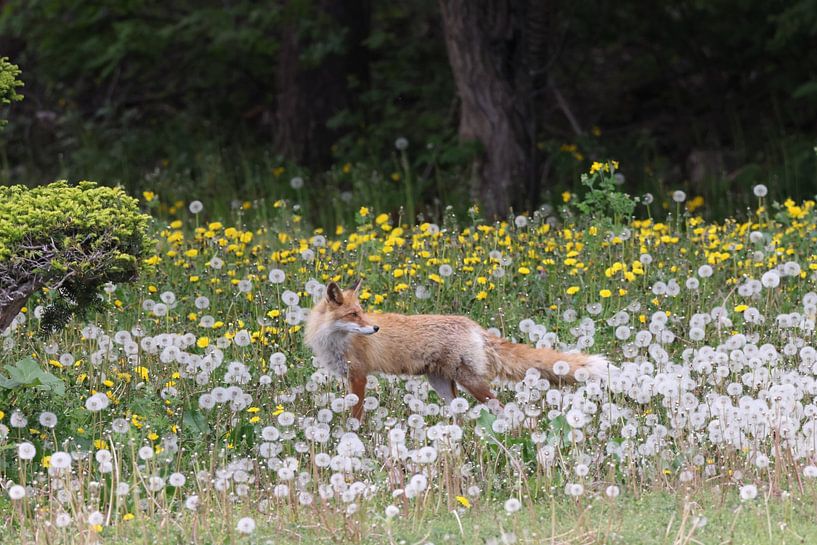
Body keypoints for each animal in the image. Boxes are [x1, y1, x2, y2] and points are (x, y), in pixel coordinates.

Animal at [304, 280, 615, 420]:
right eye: (353, 314)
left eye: (362, 313)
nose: (375, 328)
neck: (334, 340)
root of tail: (474, 326)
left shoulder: (358, 375)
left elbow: (355, 415)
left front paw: (353, 435)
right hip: (443, 385)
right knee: (460, 413)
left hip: (471, 382)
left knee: (500, 407)